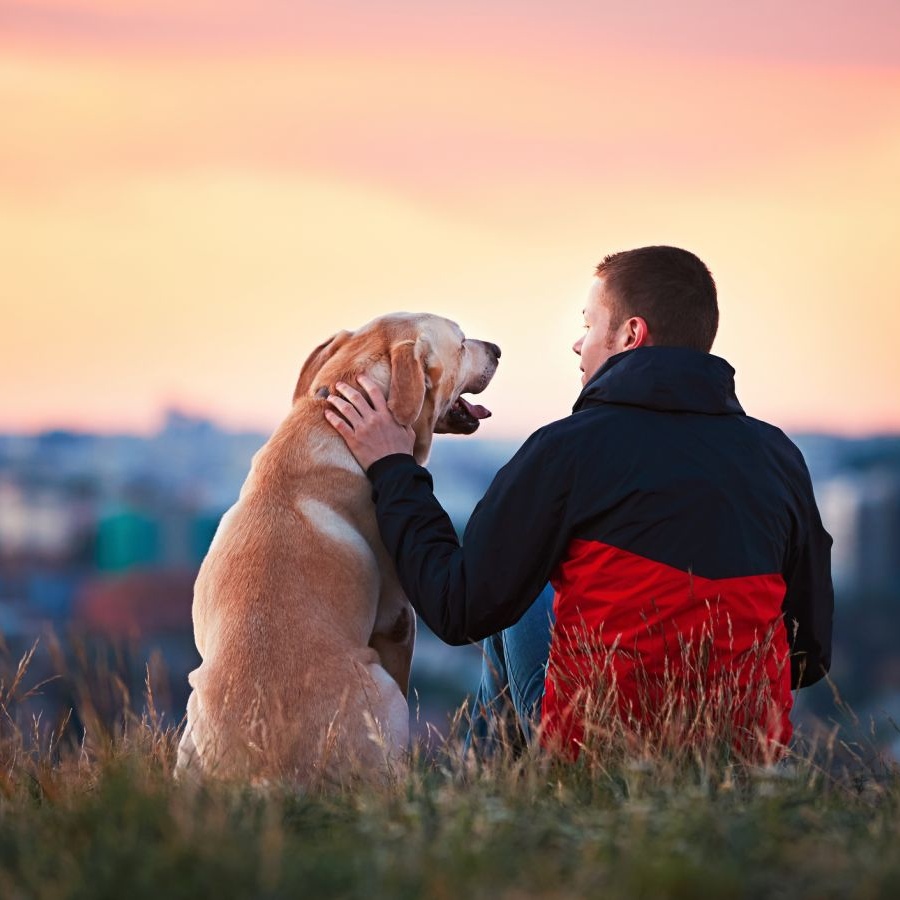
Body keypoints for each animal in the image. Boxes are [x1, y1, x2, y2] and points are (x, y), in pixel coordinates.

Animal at [176, 312, 500, 784]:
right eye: (460, 344)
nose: (497, 349)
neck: (328, 421)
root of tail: (265, 772)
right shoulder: (398, 618)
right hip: (383, 694)